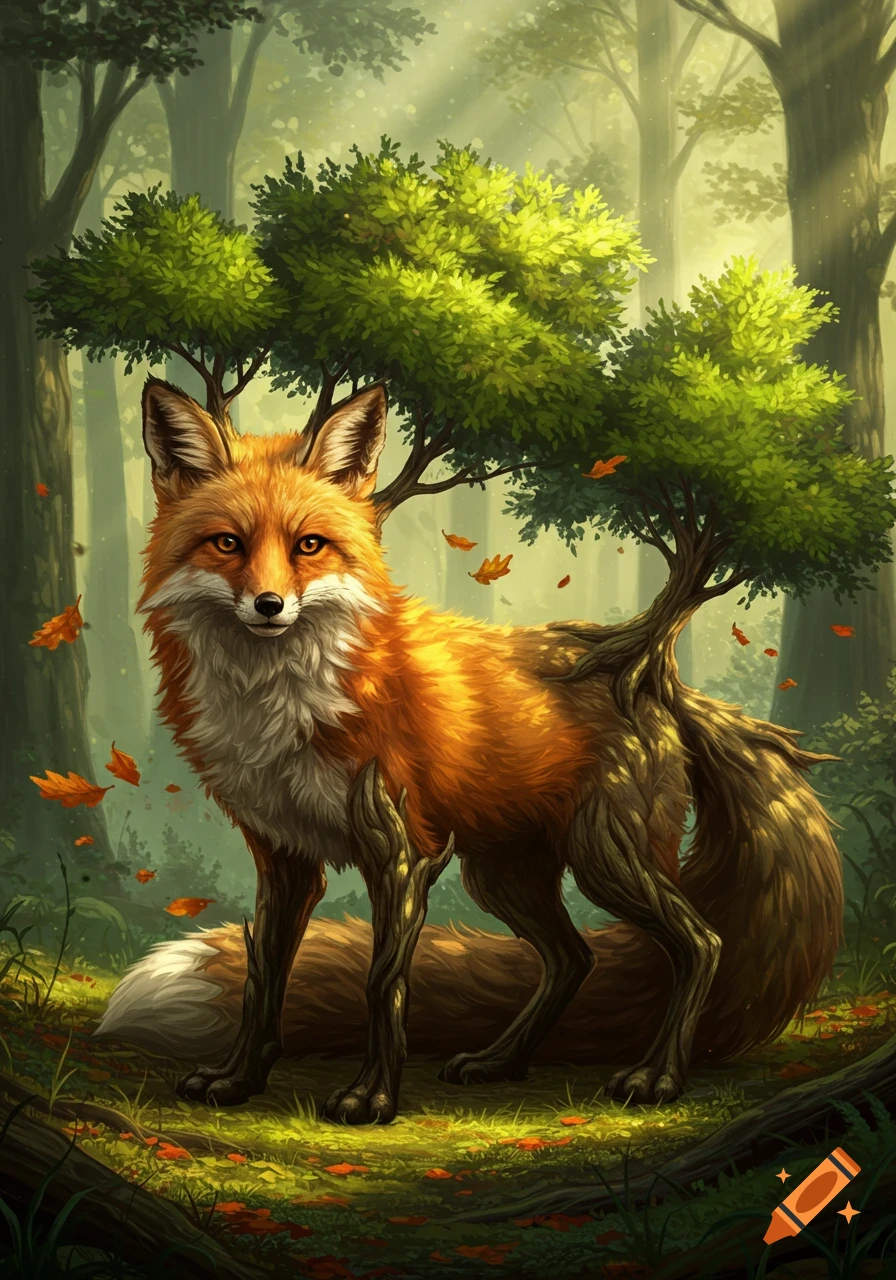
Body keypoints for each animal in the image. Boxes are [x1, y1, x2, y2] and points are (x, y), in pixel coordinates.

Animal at [95, 375, 844, 1124]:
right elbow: (263, 982)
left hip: (604, 855)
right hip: (504, 874)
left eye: (309, 545)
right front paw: (239, 1078)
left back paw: (657, 1076)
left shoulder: (400, 849)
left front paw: (373, 1096)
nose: (270, 605)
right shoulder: (284, 856)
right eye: (227, 543)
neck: (284, 703)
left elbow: (382, 983)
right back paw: (500, 1060)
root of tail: (648, 678)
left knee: (700, 943)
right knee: (574, 958)